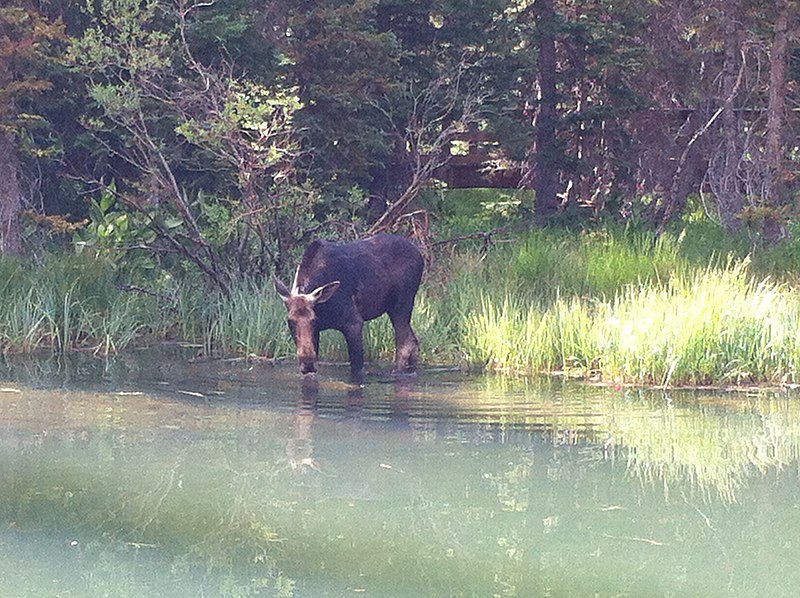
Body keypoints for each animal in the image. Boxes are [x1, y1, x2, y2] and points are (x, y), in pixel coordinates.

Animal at [276, 234, 424, 380]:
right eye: (290, 322)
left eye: (313, 320)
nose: (307, 364)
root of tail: (420, 256)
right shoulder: (317, 332)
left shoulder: (353, 323)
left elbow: (356, 369)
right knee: (413, 340)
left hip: (402, 304)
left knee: (405, 344)